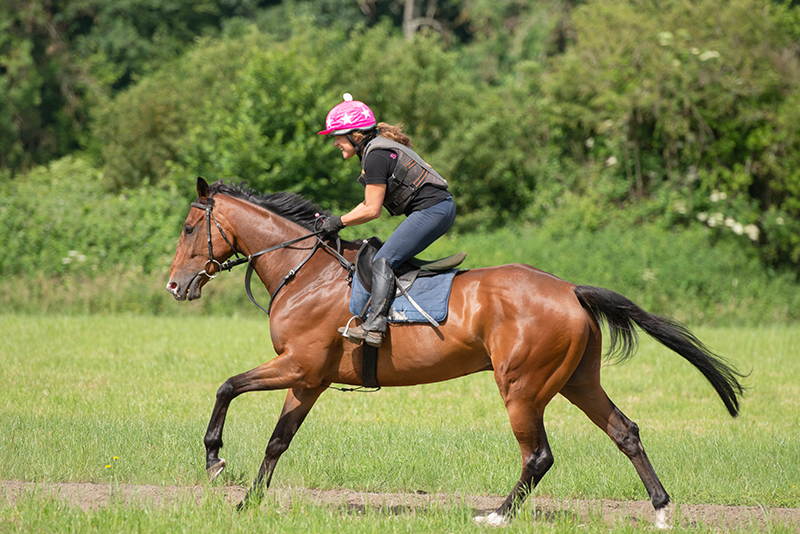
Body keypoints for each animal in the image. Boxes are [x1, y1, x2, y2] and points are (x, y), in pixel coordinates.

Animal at [167, 178, 744, 528]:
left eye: (190, 228)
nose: (175, 286)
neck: (304, 272)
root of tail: (570, 290)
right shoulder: (310, 380)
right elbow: (277, 440)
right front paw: (249, 502)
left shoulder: (299, 366)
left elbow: (227, 387)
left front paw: (215, 460)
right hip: (578, 381)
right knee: (625, 431)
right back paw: (661, 510)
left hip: (522, 386)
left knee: (538, 455)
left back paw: (497, 515)